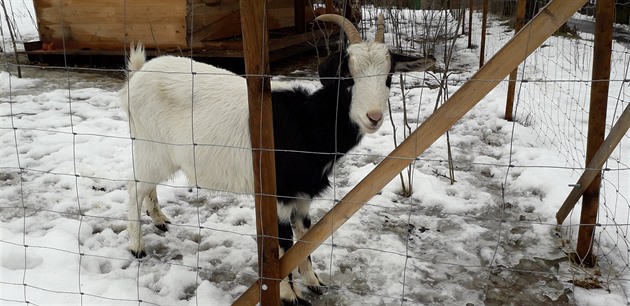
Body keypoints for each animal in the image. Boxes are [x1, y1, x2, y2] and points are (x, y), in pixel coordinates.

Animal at [119, 13, 434, 304]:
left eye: (389, 77)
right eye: (347, 76)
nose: (374, 117)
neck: (306, 122)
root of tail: (138, 74)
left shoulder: (302, 193)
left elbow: (304, 237)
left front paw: (314, 282)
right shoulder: (279, 194)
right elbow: (283, 242)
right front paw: (289, 295)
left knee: (147, 186)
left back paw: (159, 219)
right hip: (151, 146)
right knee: (134, 187)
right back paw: (136, 246)